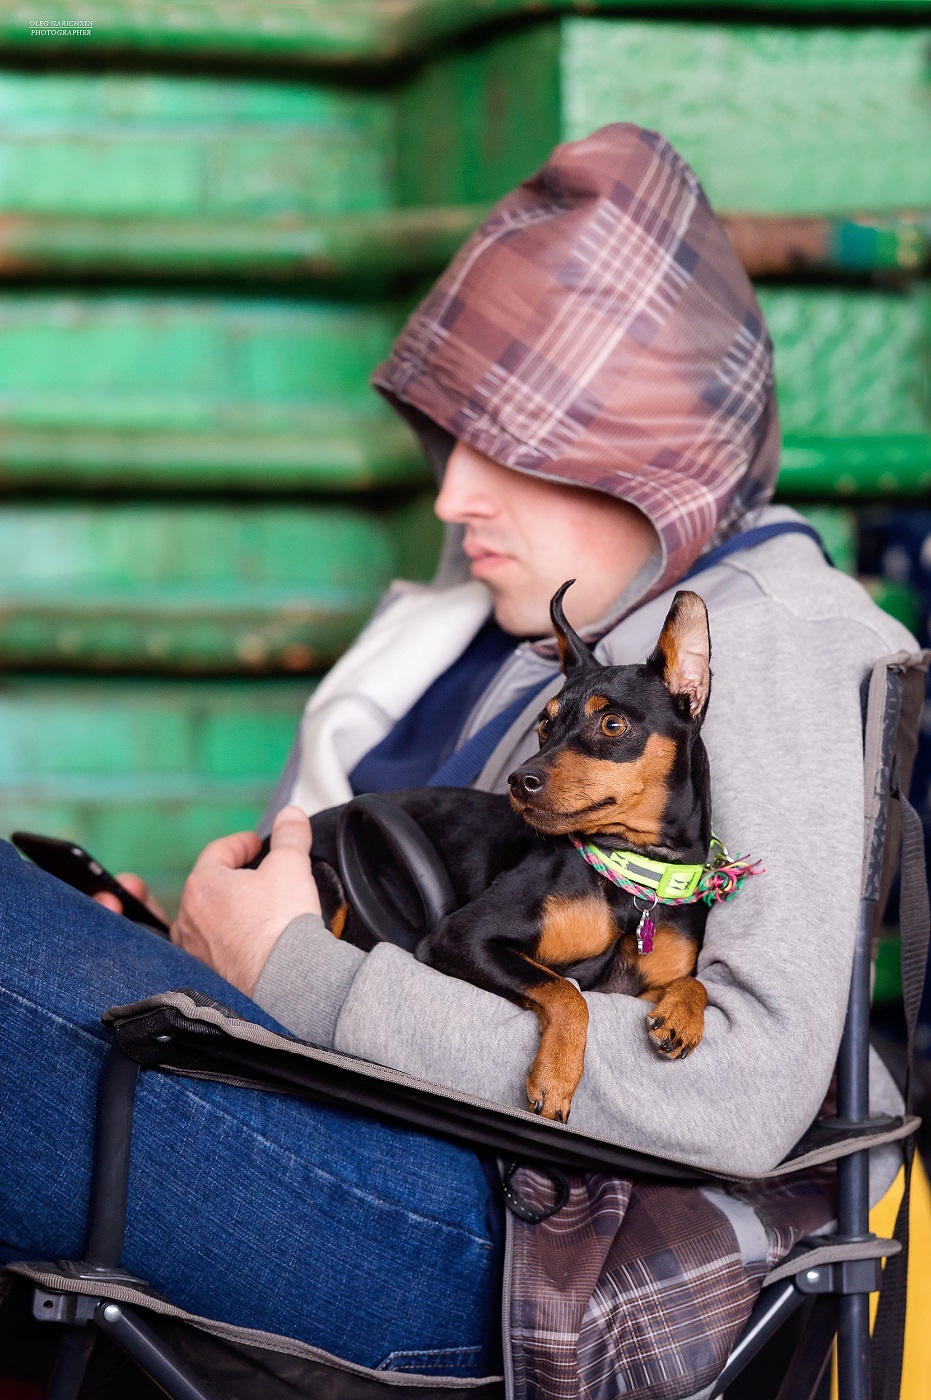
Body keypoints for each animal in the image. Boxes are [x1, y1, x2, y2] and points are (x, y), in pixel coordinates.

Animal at [305, 585, 711, 1120]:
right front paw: (555, 1079)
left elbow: (697, 983)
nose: (521, 781)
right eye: (545, 724)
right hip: (332, 882)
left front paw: (681, 1016)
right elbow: (566, 991)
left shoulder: (640, 985)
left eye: (612, 724)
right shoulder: (461, 938)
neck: (633, 876)